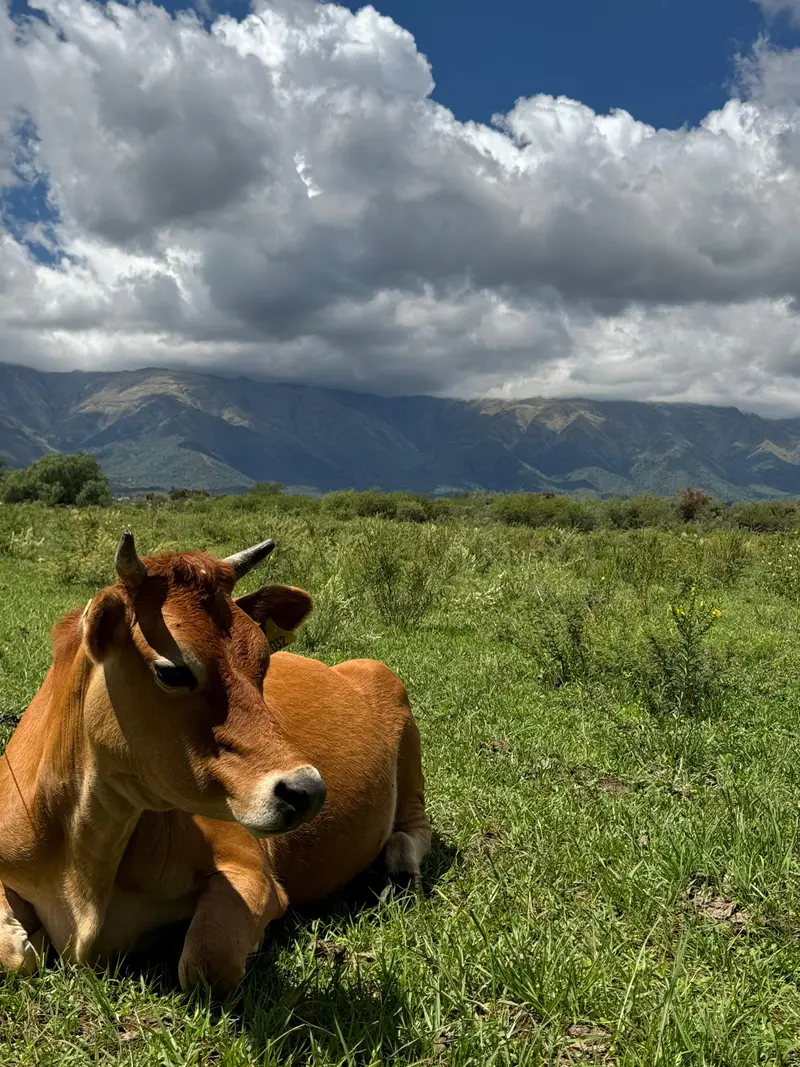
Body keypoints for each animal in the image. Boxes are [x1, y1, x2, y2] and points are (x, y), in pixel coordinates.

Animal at [0, 533, 431, 996]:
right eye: (173, 672)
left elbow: (207, 960)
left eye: (263, 662)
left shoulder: (250, 870)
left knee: (414, 828)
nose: (307, 790)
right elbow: (14, 957)